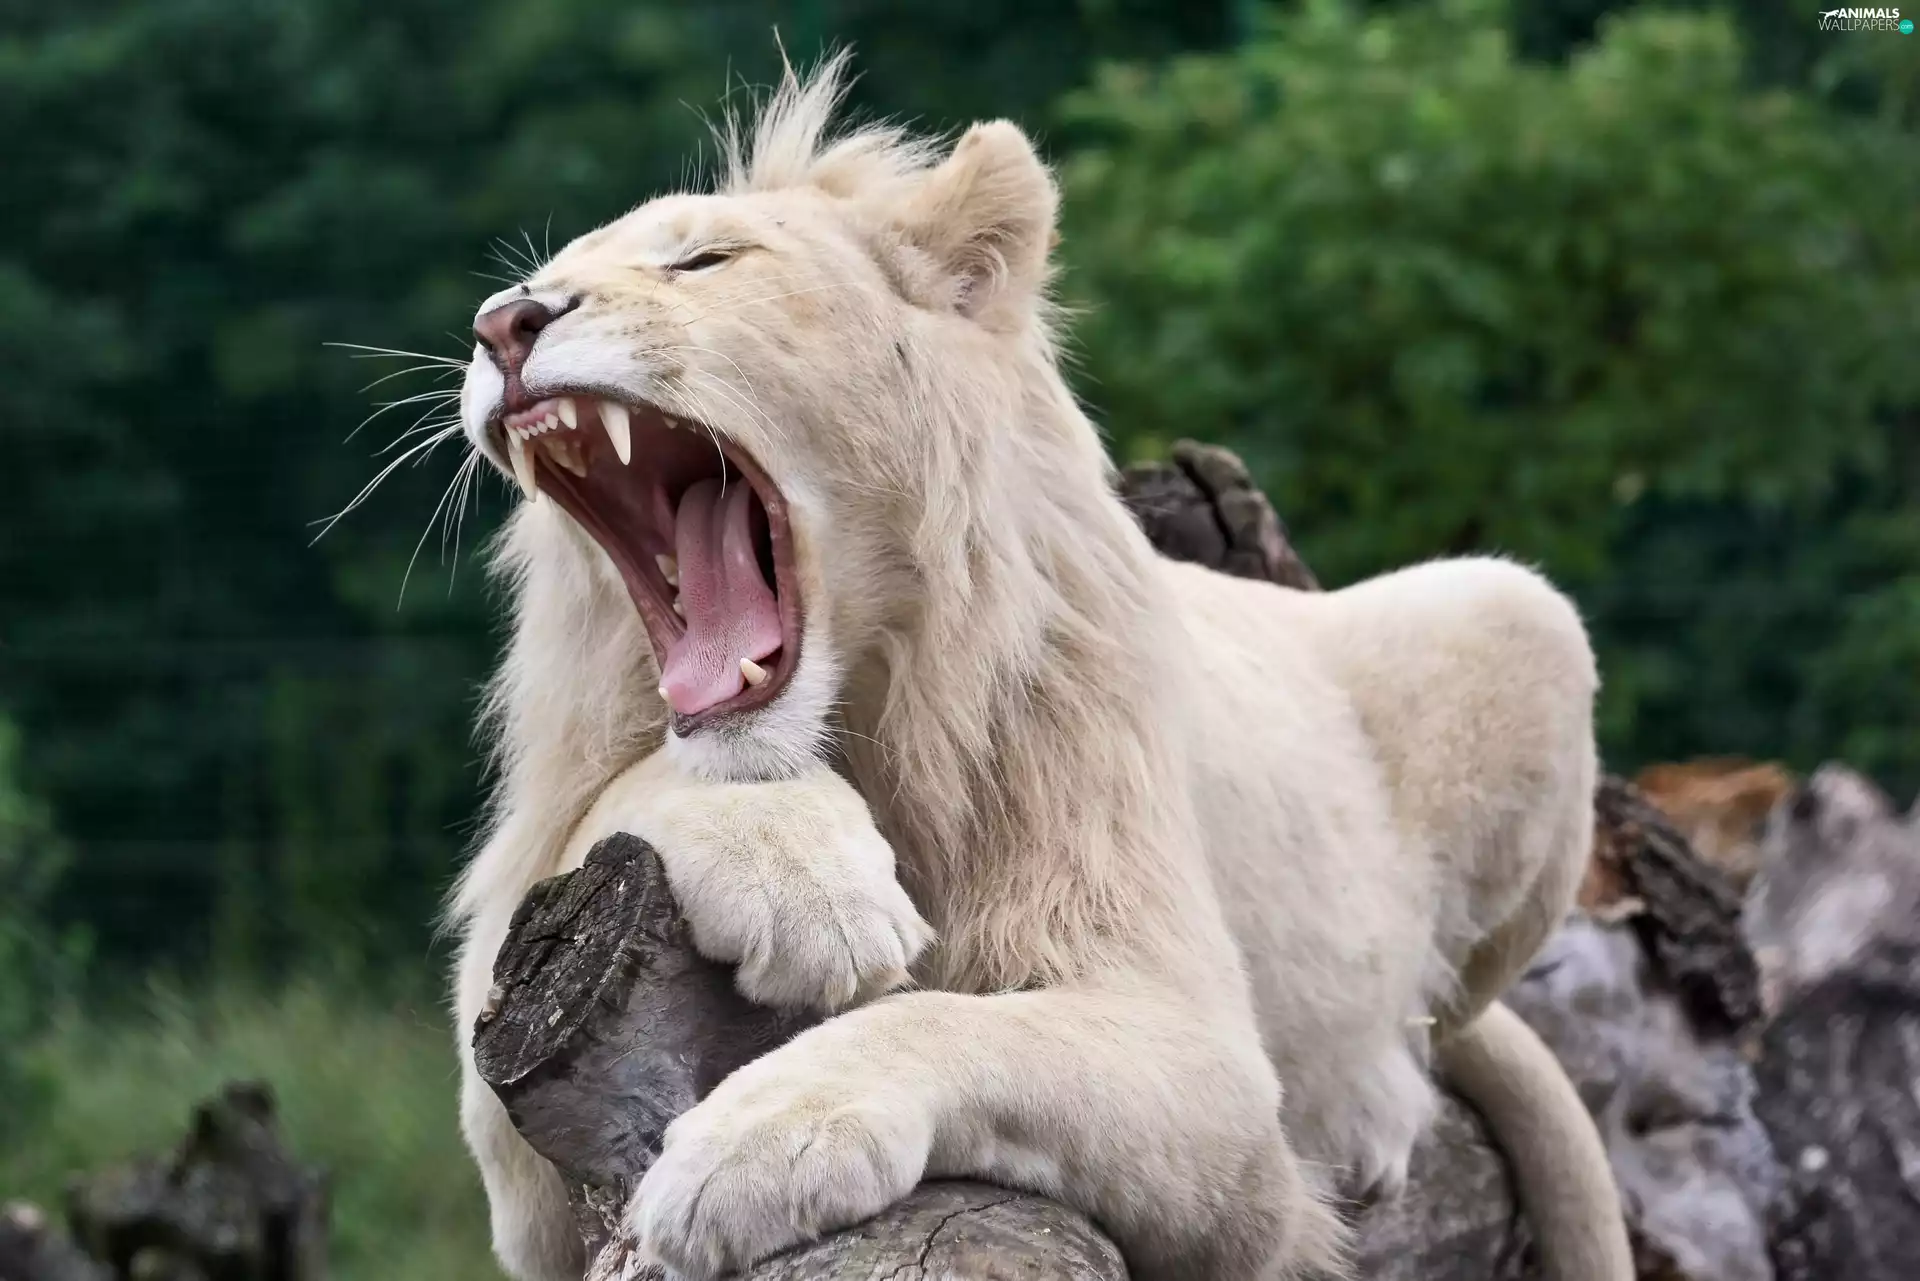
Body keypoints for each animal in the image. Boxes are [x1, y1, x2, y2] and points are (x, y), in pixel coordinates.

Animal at [444, 53, 1632, 1281]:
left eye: (706, 260)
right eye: (533, 283)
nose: (503, 326)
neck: (866, 703)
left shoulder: (1207, 1066)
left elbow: (949, 1022)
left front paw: (755, 1145)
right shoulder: (524, 1136)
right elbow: (625, 801)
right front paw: (811, 889)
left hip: (1522, 613)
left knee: (1441, 1020)